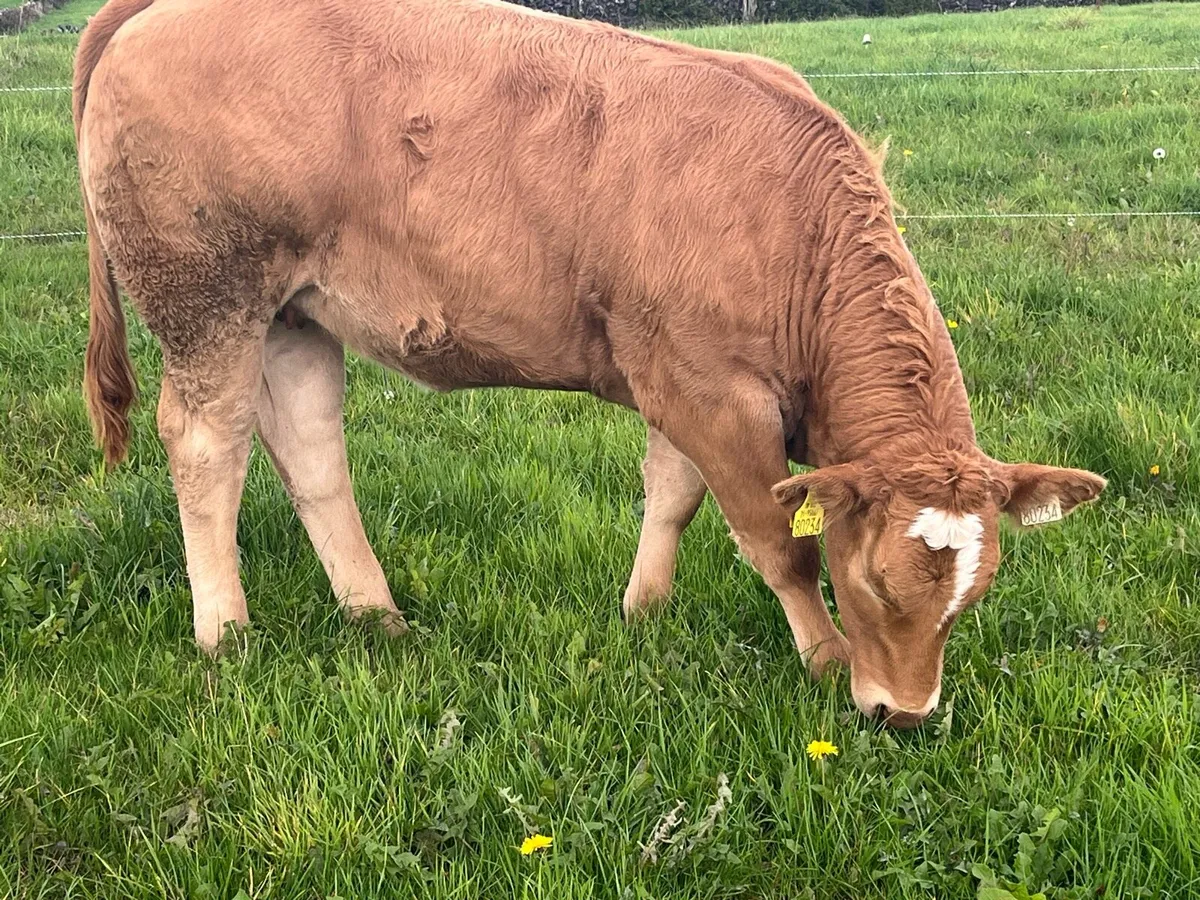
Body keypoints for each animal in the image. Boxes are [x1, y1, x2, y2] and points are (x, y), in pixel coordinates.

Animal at [74, 0, 1105, 727]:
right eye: (878, 585)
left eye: (976, 593)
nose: (907, 715)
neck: (788, 224)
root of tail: (156, 9)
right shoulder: (714, 394)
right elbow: (779, 542)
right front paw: (824, 661)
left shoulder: (684, 376)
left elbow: (673, 497)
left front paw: (642, 610)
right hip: (209, 298)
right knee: (207, 443)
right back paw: (226, 633)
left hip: (296, 314)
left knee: (310, 453)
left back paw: (378, 616)